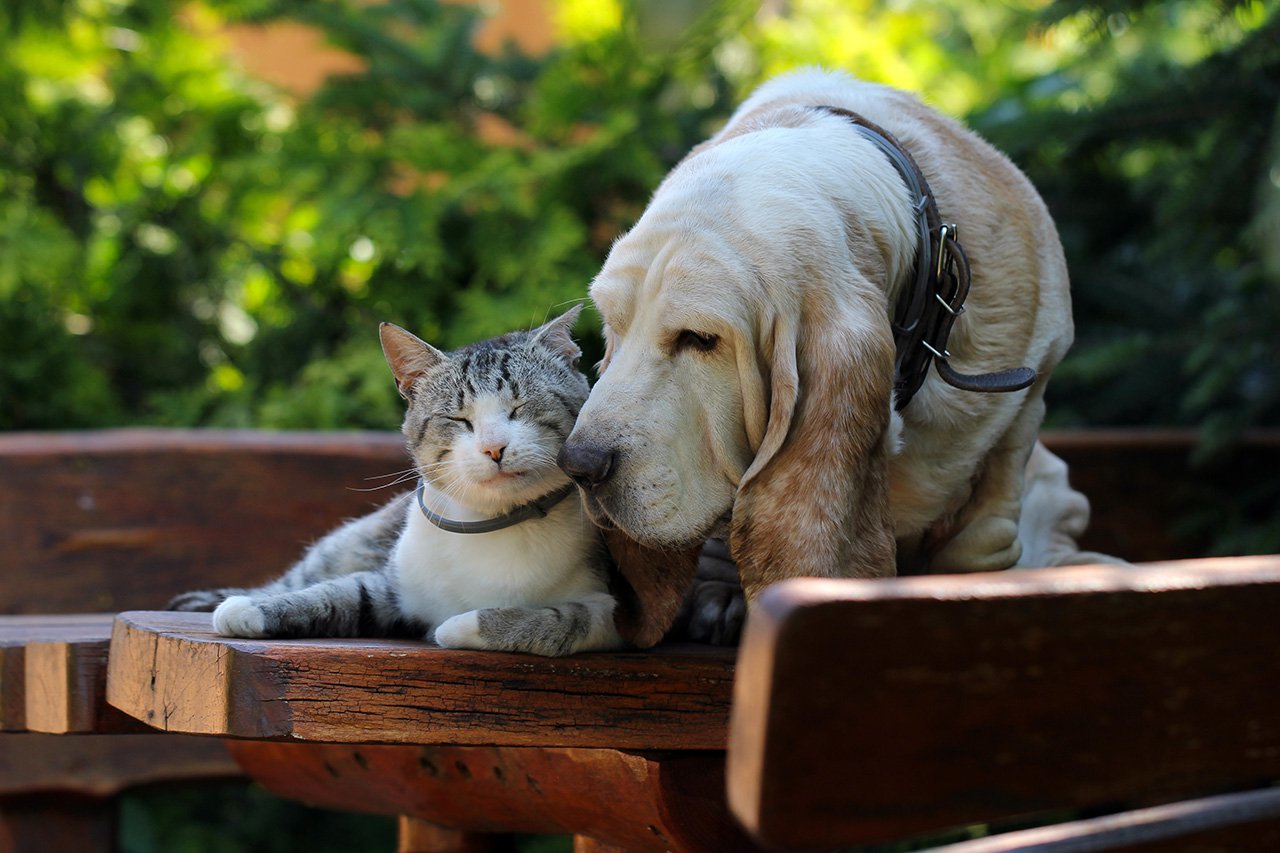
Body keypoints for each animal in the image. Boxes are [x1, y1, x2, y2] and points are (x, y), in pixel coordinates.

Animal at [170, 302, 624, 653]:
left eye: (521, 407)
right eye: (458, 419)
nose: (494, 447)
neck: (496, 522)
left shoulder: (612, 612)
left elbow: (559, 622)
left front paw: (459, 625)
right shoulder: (390, 586)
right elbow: (337, 594)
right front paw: (249, 610)